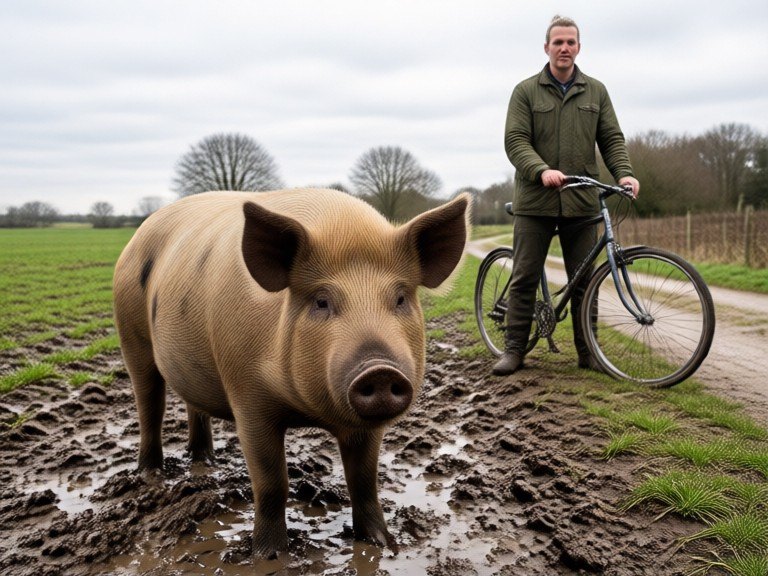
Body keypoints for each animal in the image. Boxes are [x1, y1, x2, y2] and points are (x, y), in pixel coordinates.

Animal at [112, 187, 469, 557]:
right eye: (322, 301)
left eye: (400, 298)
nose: (380, 370)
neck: (306, 411)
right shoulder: (246, 396)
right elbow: (272, 483)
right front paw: (268, 554)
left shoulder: (364, 426)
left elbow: (364, 480)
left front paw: (383, 544)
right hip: (131, 334)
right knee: (149, 405)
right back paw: (150, 475)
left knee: (193, 406)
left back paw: (206, 462)